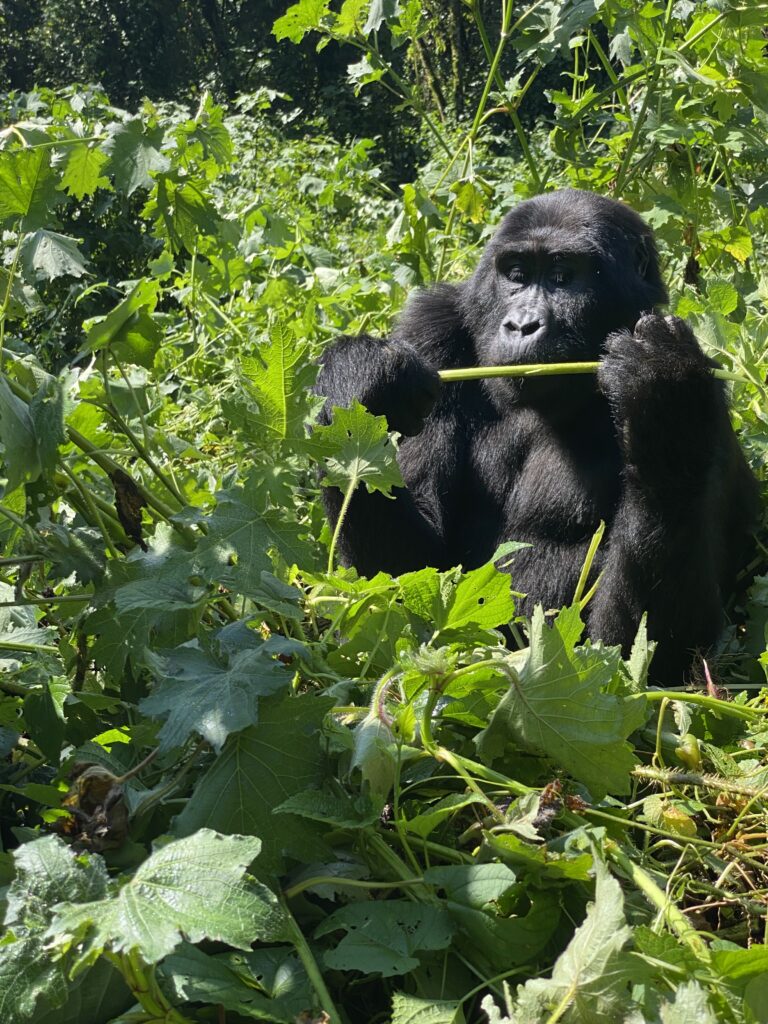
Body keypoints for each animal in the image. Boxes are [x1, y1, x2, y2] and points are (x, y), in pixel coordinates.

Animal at [315, 190, 761, 679]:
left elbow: (646, 657)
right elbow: (407, 579)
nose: (521, 325)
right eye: (516, 275)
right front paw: (358, 380)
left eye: (563, 278)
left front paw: (664, 403)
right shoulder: (430, 330)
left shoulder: (712, 402)